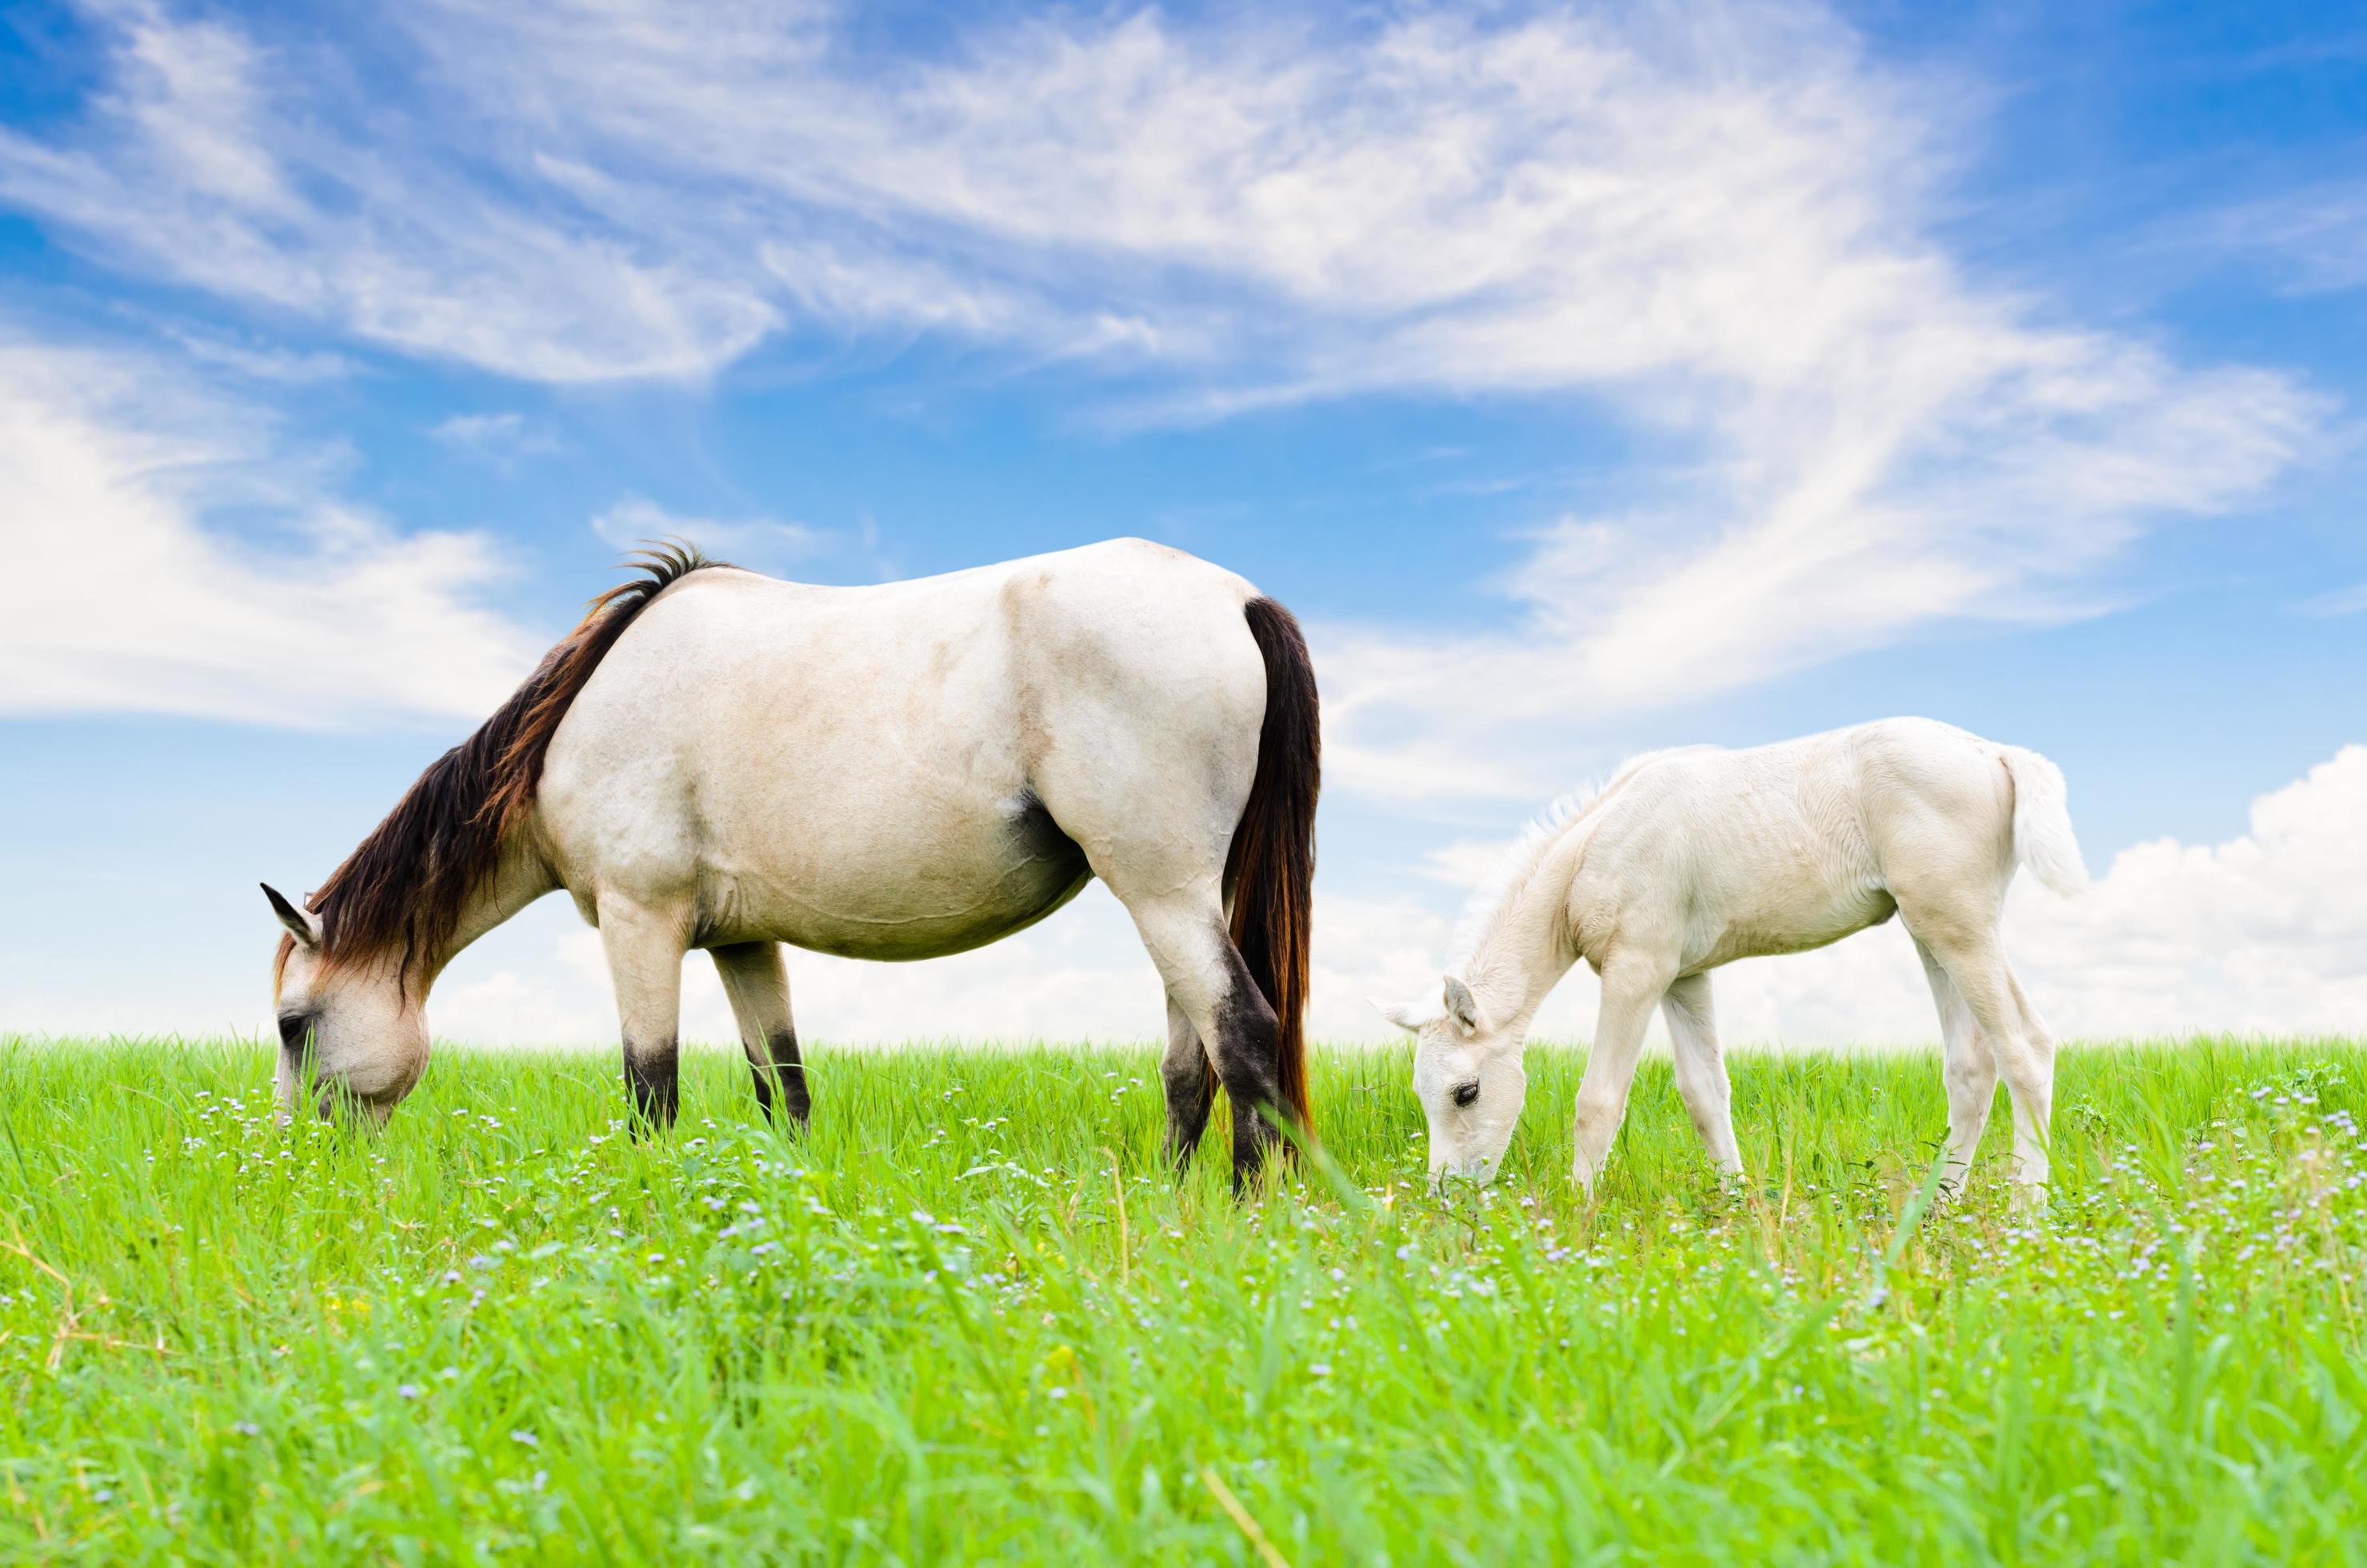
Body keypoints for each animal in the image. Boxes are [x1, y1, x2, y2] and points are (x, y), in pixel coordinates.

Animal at [272, 540, 1334, 1194]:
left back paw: (1241, 1218)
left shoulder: (640, 919)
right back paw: (1171, 1204)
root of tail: (1238, 599)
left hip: (1161, 890)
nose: (298, 1167)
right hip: (1173, 896)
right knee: (1191, 1065)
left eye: (292, 1025)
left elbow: (650, 1094)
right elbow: (782, 1089)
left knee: (1245, 1036)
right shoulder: (740, 941)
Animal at [1382, 720, 2092, 1207]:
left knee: (2025, 1047)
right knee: (1971, 1066)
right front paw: (1732, 1207)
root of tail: (1994, 753)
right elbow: (1704, 1094)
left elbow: (1598, 1100)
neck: (1593, 850)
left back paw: (2026, 1211)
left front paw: (1577, 1216)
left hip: (1959, 927)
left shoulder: (1636, 971)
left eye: (1466, 1092)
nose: (1445, 1196)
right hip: (1932, 930)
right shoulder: (1682, 976)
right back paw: (1936, 1207)